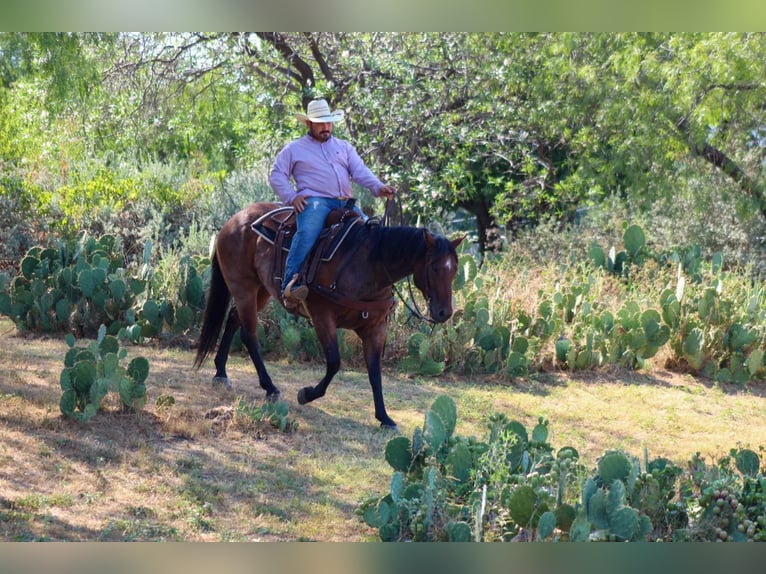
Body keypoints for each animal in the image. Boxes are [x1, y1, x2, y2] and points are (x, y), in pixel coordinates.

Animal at [193, 201, 463, 430]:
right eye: (434, 267)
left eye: (455, 270)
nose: (444, 312)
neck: (370, 265)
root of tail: (232, 221)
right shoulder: (322, 316)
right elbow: (334, 363)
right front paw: (306, 394)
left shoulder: (376, 327)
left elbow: (375, 372)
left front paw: (385, 418)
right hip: (244, 288)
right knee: (249, 336)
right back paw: (270, 388)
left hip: (260, 291)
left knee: (232, 319)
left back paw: (221, 373)